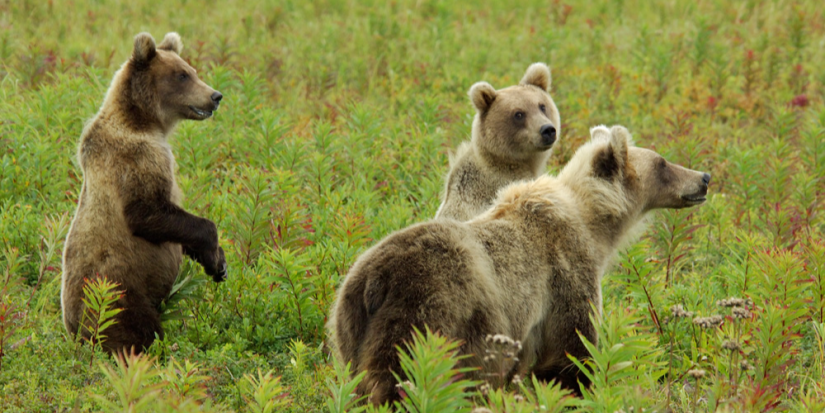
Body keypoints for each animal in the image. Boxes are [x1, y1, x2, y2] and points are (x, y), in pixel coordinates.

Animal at [60, 32, 229, 352]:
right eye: (182, 75)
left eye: (192, 71)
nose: (215, 96)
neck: (145, 122)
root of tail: (75, 334)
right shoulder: (134, 159)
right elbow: (147, 212)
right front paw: (214, 250)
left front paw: (218, 264)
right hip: (118, 292)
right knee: (135, 329)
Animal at [328, 124, 708, 404]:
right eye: (662, 163)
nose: (703, 177)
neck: (594, 228)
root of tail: (374, 280)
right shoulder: (565, 276)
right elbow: (570, 354)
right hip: (428, 311)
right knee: (400, 379)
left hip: (348, 325)